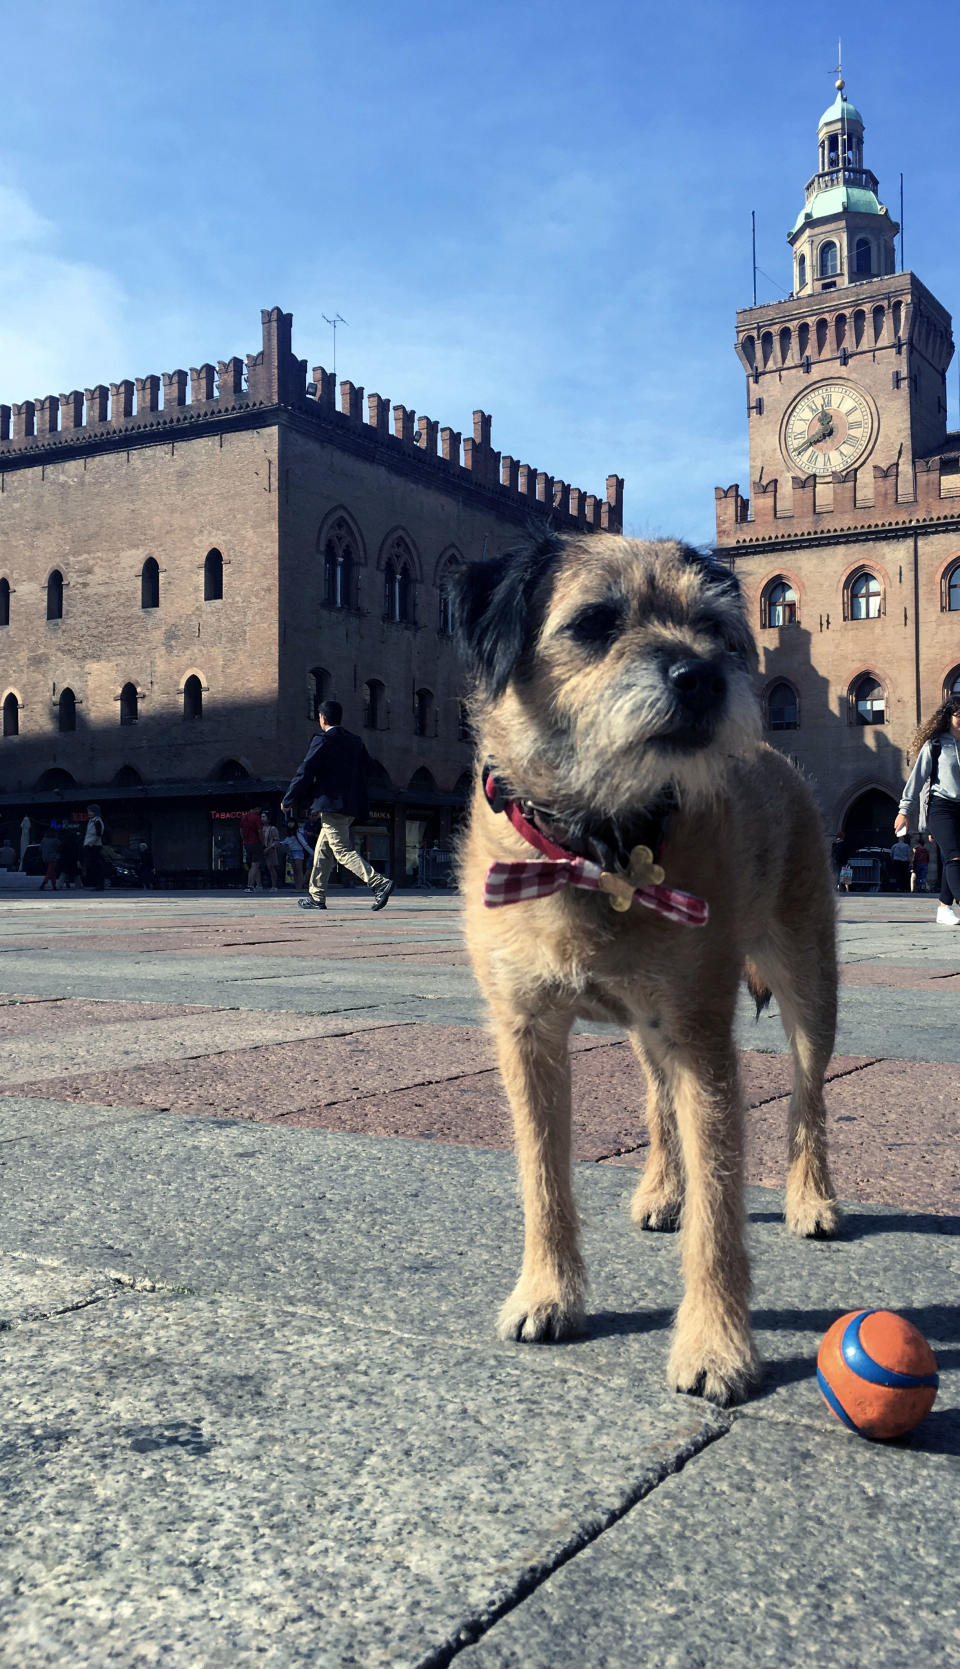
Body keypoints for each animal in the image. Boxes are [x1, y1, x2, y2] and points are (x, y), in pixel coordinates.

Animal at [454, 527, 838, 1401]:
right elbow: (542, 1175)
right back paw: (665, 1187)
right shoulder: (527, 1036)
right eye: (595, 621)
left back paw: (810, 1197)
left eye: (714, 628)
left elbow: (722, 1200)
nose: (702, 675)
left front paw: (716, 1344)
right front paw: (548, 1292)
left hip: (807, 978)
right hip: (647, 1028)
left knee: (808, 1097)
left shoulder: (703, 1038)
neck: (600, 846)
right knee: (659, 1101)